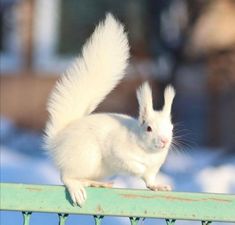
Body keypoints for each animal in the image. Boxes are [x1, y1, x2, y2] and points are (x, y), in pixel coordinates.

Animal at [45, 13, 175, 206]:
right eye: (149, 128)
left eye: (171, 128)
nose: (165, 141)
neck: (148, 152)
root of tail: (57, 141)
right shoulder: (117, 150)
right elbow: (132, 164)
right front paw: (139, 167)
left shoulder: (153, 169)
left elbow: (149, 180)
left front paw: (158, 186)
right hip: (85, 156)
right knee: (66, 177)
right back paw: (77, 189)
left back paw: (97, 183)